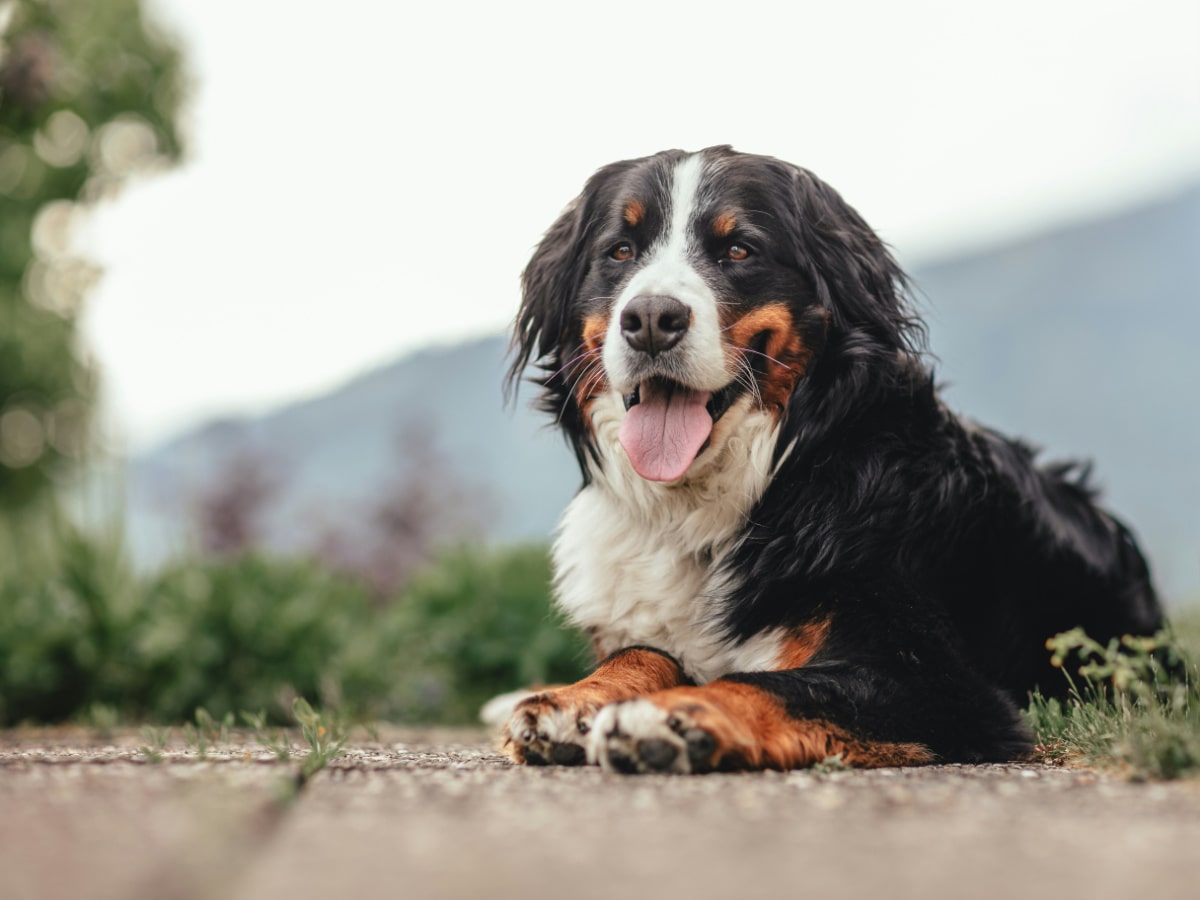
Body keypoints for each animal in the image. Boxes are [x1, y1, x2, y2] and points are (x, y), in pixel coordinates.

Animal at [501, 148, 1166, 777]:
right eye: (620, 251)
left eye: (739, 249)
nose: (649, 320)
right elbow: (644, 651)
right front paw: (572, 701)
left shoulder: (942, 685)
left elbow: (769, 683)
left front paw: (667, 718)